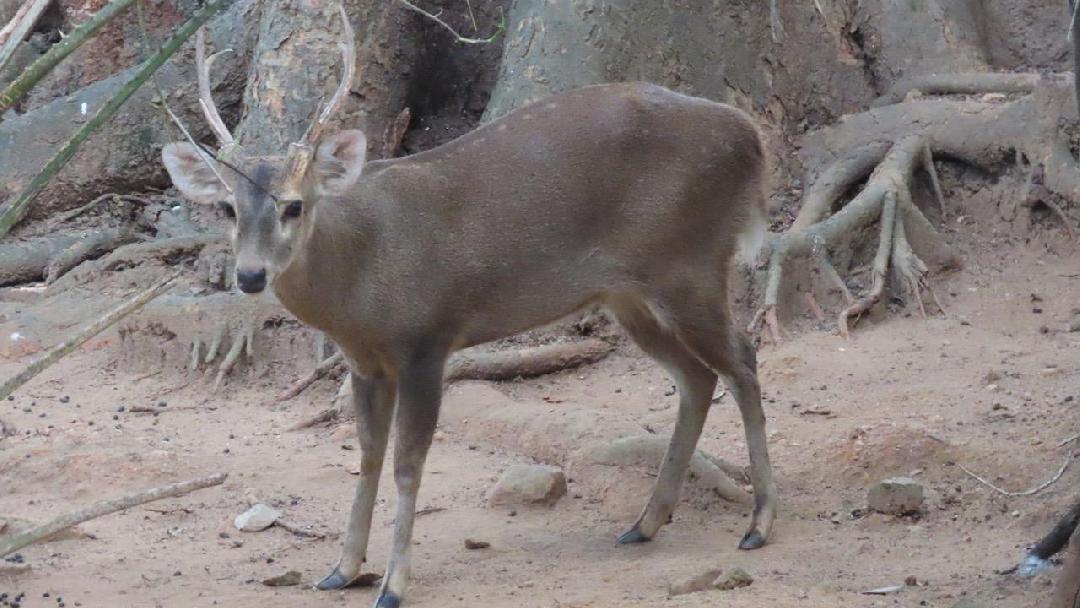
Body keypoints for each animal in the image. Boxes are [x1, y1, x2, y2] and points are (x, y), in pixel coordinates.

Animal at [162, 9, 777, 608]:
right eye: (227, 208)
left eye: (294, 206)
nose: (250, 276)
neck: (361, 283)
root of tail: (753, 139)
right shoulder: (364, 361)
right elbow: (366, 454)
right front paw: (341, 570)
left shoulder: (427, 339)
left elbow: (407, 463)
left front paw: (393, 586)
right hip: (630, 295)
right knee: (698, 377)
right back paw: (644, 523)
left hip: (692, 264)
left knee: (743, 361)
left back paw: (758, 524)